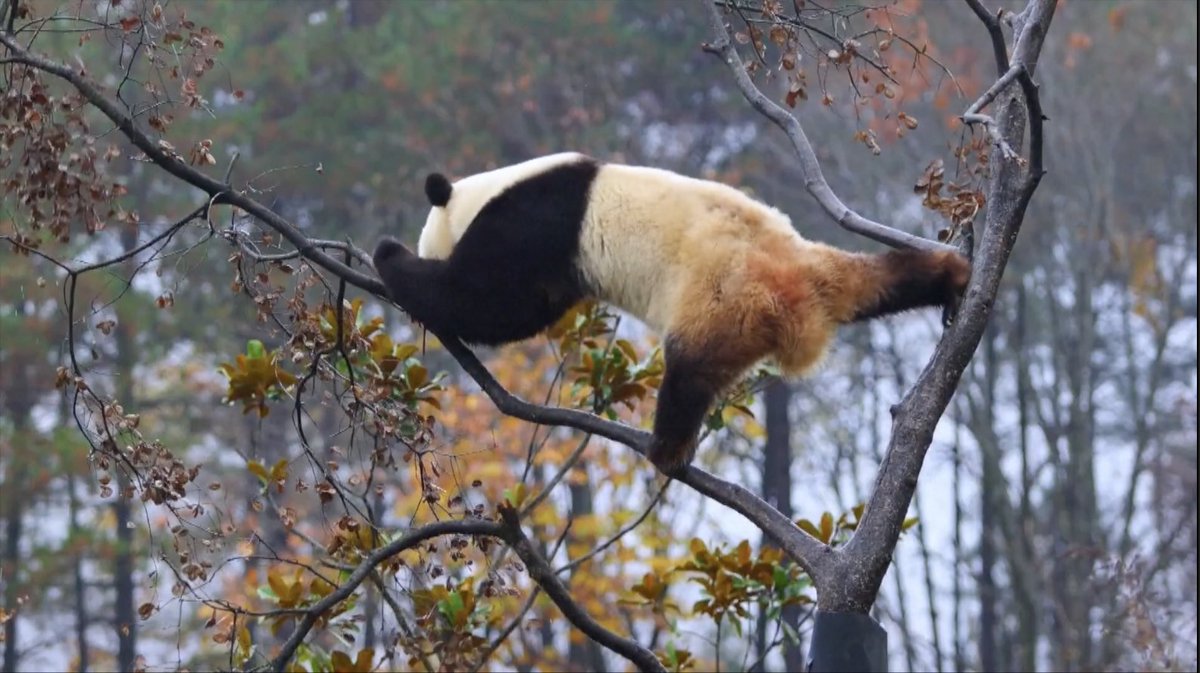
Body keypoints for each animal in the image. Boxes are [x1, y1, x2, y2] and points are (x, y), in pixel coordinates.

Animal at [373, 152, 970, 474]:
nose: (412, 247)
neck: (484, 191)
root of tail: (796, 296)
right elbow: (521, 311)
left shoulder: (536, 224)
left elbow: (490, 301)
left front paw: (390, 258)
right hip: (827, 268)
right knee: (884, 278)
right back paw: (951, 281)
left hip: (719, 297)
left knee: (690, 370)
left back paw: (666, 448)